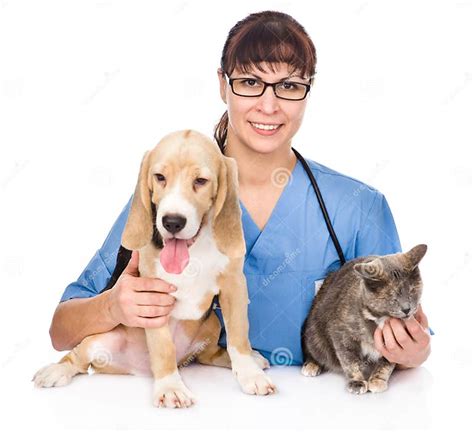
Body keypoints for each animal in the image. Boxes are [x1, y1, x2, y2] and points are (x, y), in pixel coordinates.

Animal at [33, 129, 276, 408]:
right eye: (159, 177)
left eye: (201, 181)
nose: (172, 222)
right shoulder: (152, 297)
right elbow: (163, 348)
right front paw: (170, 387)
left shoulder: (234, 285)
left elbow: (238, 337)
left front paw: (249, 373)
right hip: (96, 340)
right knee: (76, 360)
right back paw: (56, 370)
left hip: (213, 323)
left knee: (210, 354)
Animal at [302, 245, 428, 394]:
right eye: (392, 296)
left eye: (412, 291)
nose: (407, 309)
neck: (379, 319)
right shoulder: (341, 335)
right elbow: (350, 361)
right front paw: (357, 381)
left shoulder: (392, 346)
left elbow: (387, 362)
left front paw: (378, 380)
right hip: (313, 333)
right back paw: (311, 364)